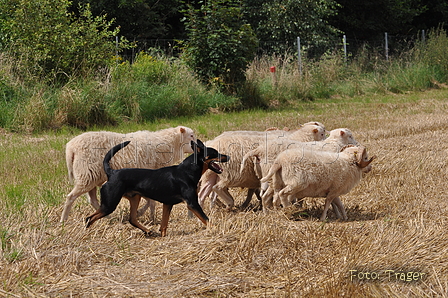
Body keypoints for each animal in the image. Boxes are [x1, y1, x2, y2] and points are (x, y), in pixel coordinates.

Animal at [61, 125, 196, 221]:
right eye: (191, 136)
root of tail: (71, 148)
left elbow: (150, 200)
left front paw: (146, 215)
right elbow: (150, 201)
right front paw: (145, 214)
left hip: (91, 177)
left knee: (92, 199)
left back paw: (107, 218)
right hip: (86, 175)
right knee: (70, 197)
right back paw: (64, 220)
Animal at [86, 139, 229, 236]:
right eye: (215, 153)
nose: (228, 156)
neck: (187, 171)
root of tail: (112, 173)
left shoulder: (167, 204)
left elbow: (164, 225)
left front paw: (163, 237)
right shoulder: (192, 203)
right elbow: (206, 219)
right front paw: (217, 229)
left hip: (134, 198)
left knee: (132, 219)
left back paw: (148, 231)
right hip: (109, 204)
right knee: (89, 218)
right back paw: (87, 233)